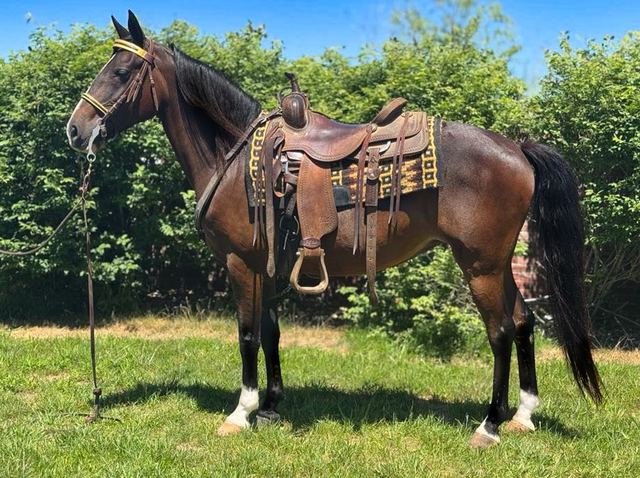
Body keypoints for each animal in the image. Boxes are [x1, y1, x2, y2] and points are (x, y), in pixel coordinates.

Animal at [66, 11, 601, 448]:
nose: (75, 129)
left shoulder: (242, 263)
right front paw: (272, 406)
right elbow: (271, 330)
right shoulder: (267, 265)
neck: (234, 158)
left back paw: (489, 425)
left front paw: (241, 412)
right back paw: (523, 416)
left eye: (120, 72)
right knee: (525, 321)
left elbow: (247, 333)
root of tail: (517, 148)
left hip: (480, 264)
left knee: (501, 331)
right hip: (498, 263)